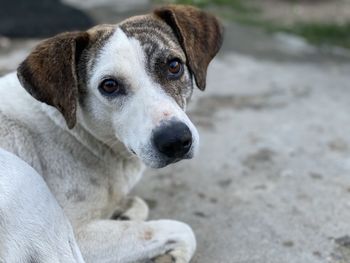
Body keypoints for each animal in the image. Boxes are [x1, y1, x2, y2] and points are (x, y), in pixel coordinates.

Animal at [0, 4, 223, 263]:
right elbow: (181, 229)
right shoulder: (81, 236)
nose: (176, 140)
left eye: (174, 66)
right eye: (109, 85)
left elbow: (139, 204)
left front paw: (124, 212)